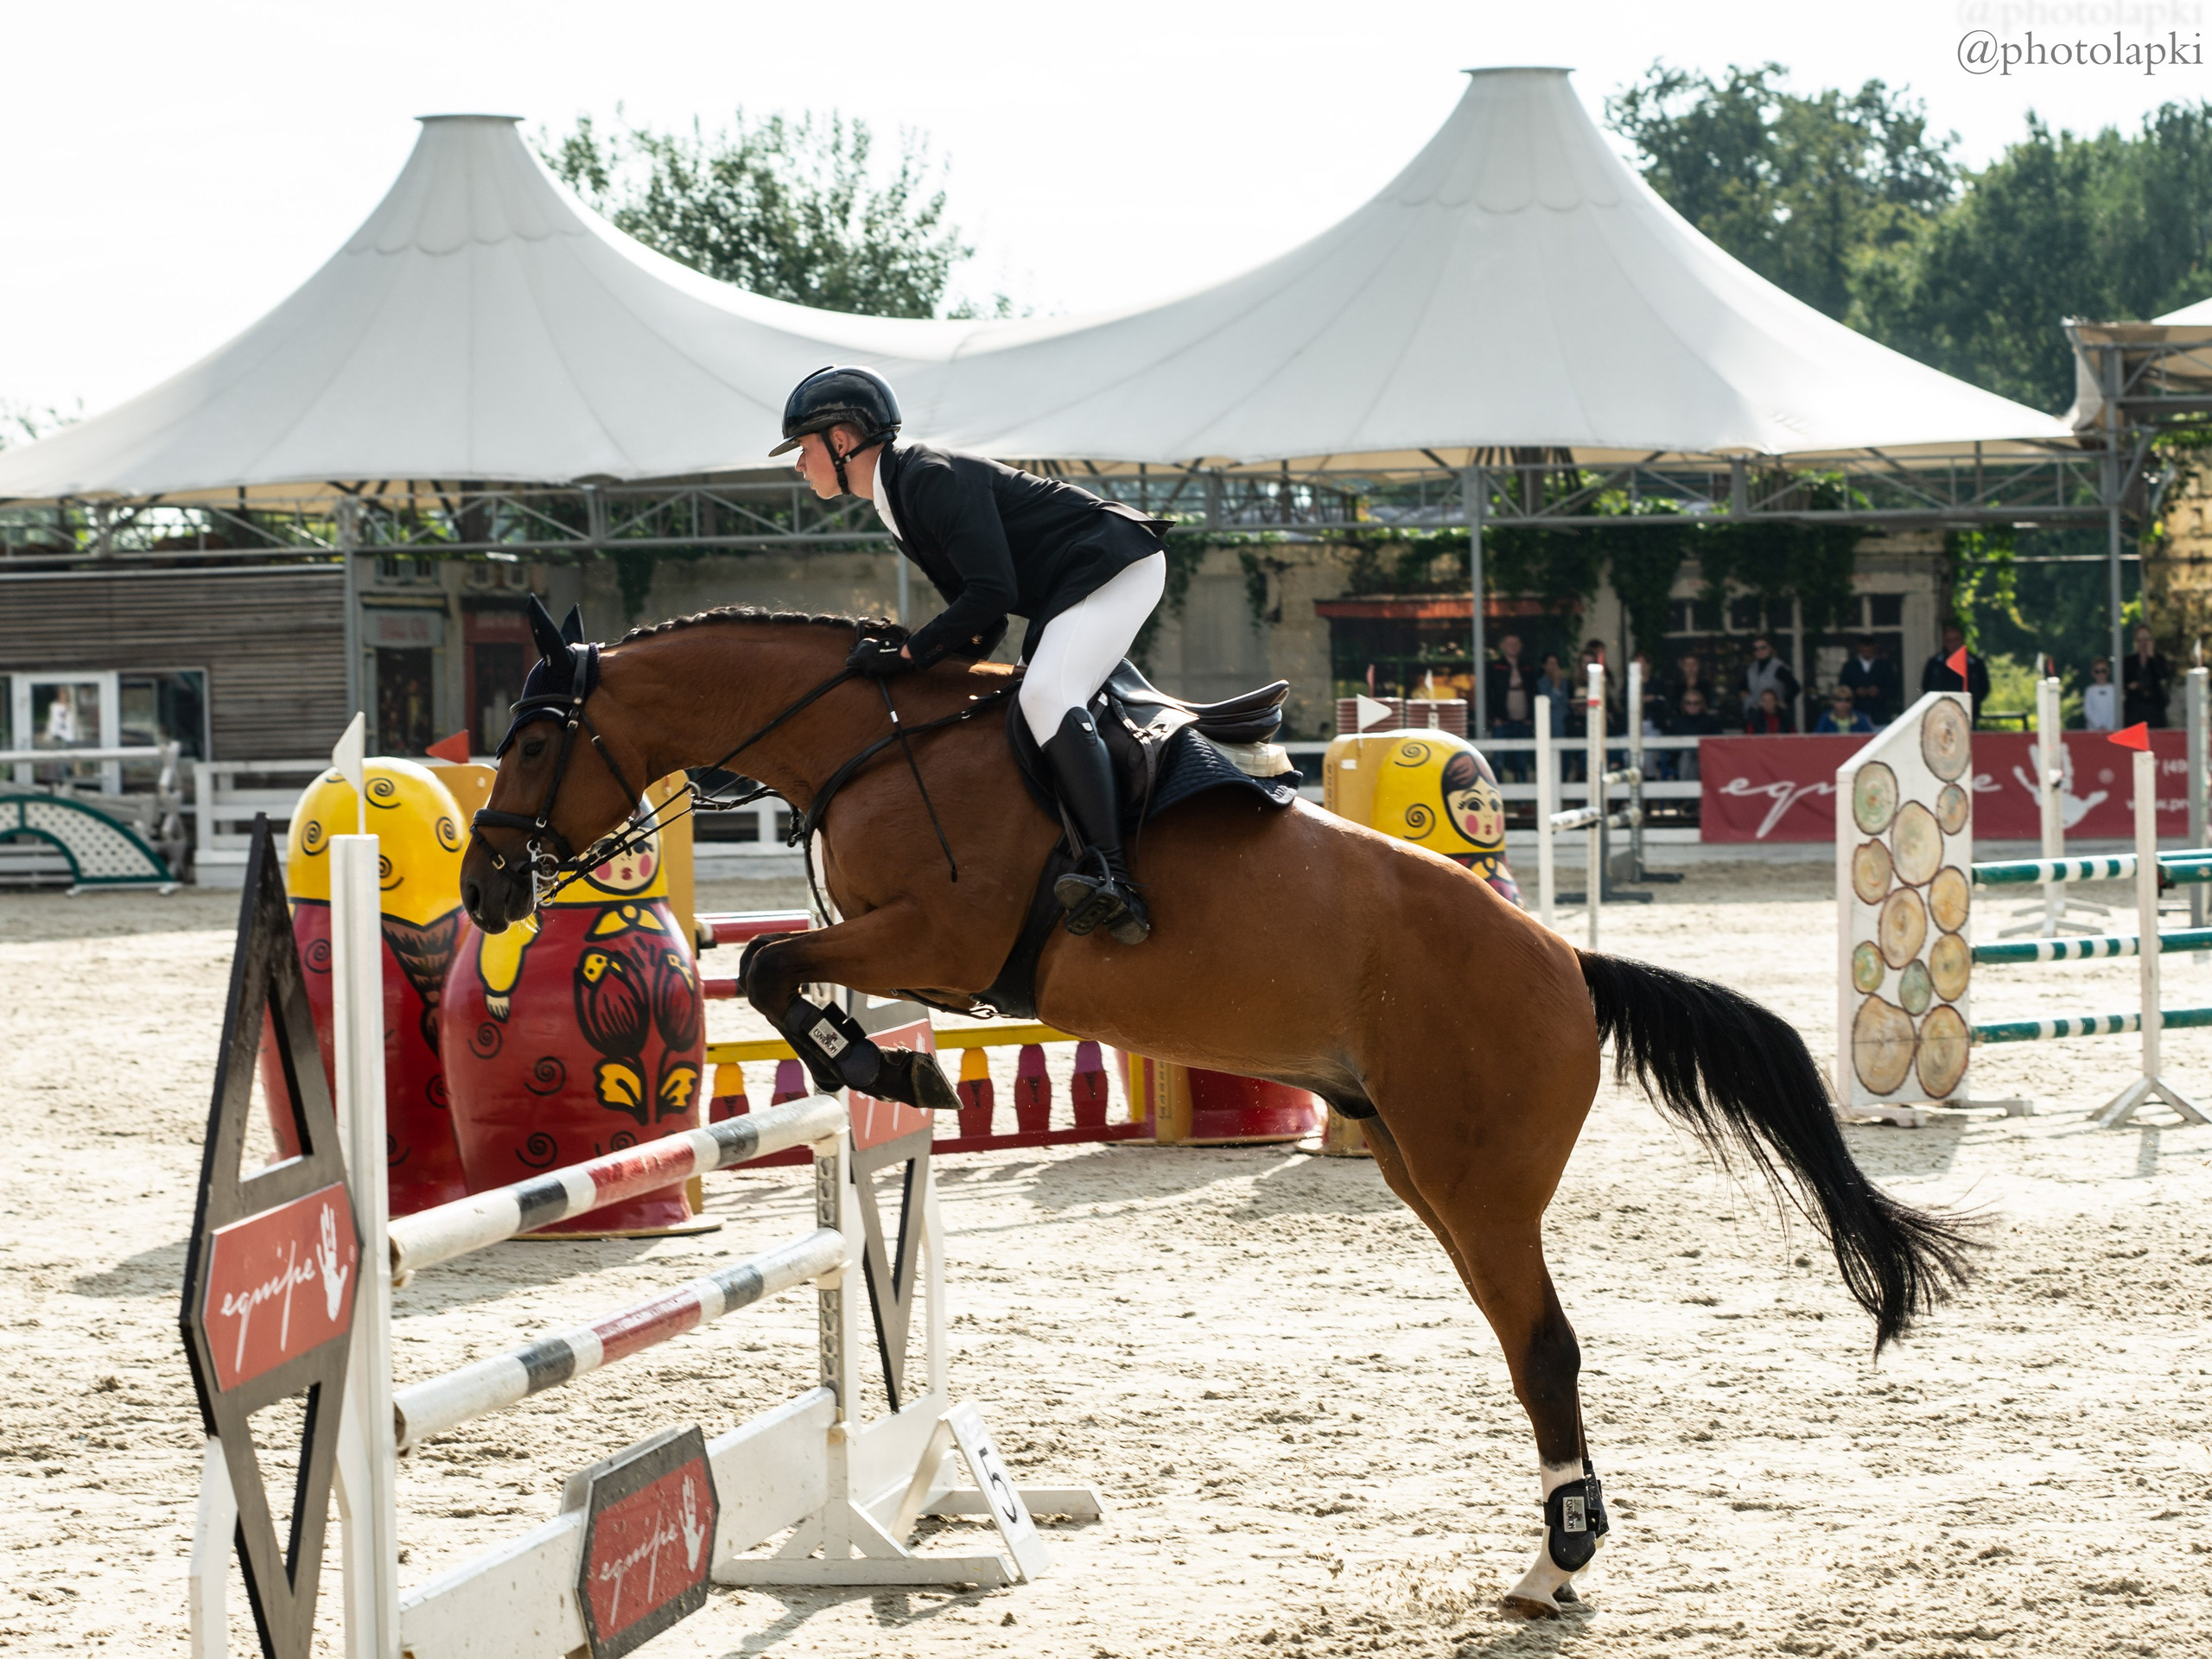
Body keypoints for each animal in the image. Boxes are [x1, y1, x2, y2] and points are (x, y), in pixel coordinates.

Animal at [459, 601, 1978, 1617]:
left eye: (531, 739)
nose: (484, 891)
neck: (866, 739)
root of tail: (1569, 963)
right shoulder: (911, 948)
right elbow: (780, 969)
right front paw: (879, 1066)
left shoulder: (938, 936)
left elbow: (777, 963)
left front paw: (889, 1070)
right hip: (1419, 1168)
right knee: (1524, 1346)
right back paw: (1555, 1545)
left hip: (1477, 1182)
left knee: (1546, 1350)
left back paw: (1556, 1564)